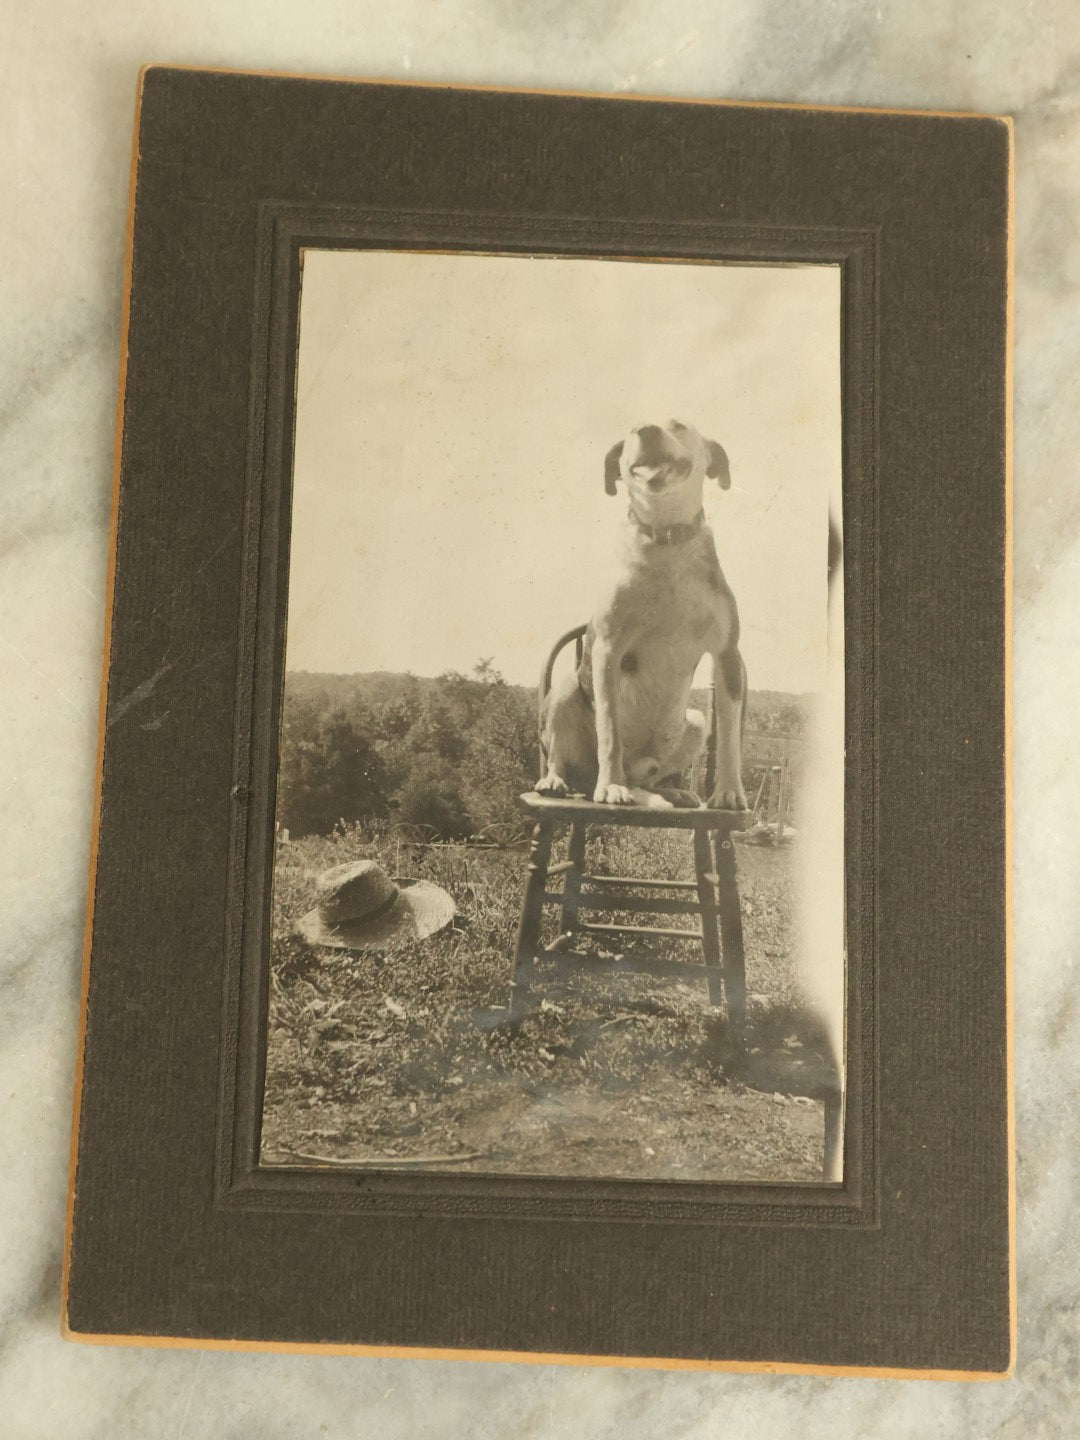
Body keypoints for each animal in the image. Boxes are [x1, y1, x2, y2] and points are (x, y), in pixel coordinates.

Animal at [541, 420, 754, 812]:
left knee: (652, 776)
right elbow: (609, 732)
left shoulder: (727, 654)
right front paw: (611, 787)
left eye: (679, 425)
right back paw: (557, 781)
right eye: (630, 431)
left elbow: (730, 734)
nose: (646, 429)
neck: (666, 538)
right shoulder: (607, 649)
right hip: (564, 690)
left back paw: (672, 792)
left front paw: (729, 792)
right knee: (560, 757)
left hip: (694, 723)